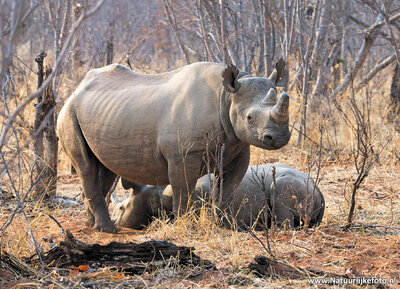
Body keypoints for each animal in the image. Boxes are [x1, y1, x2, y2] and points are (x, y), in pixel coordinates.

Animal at [57, 60, 290, 232]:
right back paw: (106, 230)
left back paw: (92, 225)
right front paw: (184, 226)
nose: (278, 138)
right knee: (86, 167)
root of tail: (76, 90)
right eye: (249, 118)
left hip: (101, 112)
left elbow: (228, 190)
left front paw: (224, 226)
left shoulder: (238, 146)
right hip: (68, 113)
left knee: (104, 168)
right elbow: (183, 190)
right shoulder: (184, 153)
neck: (227, 97)